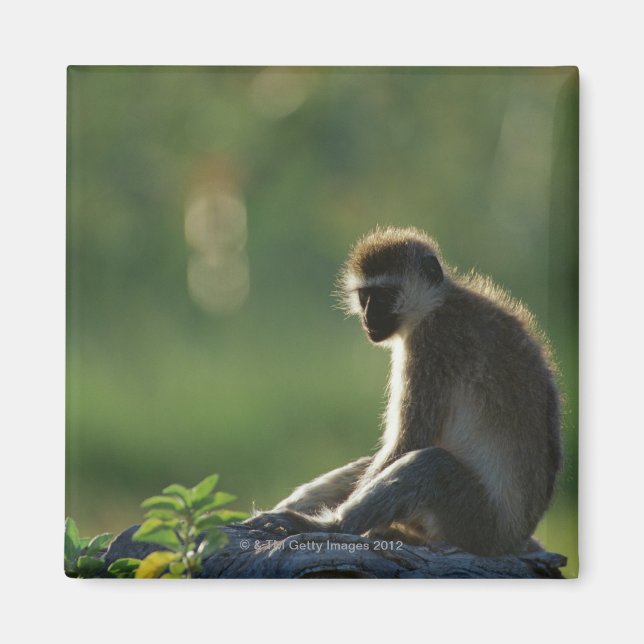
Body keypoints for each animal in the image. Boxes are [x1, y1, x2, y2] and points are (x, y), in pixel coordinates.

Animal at [244, 226, 562, 556]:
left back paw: (330, 526)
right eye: (365, 296)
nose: (368, 317)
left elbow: (410, 441)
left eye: (384, 295)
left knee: (430, 464)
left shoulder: (432, 345)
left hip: (476, 526)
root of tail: (515, 539)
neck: (437, 304)